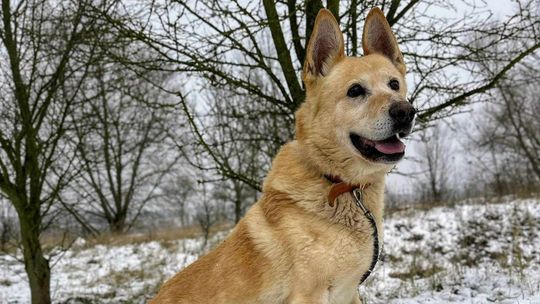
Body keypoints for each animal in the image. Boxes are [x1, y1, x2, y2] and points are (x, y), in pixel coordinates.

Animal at [150, 7, 416, 304]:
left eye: (394, 84)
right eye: (355, 91)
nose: (406, 112)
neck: (338, 183)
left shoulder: (349, 292)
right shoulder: (310, 294)